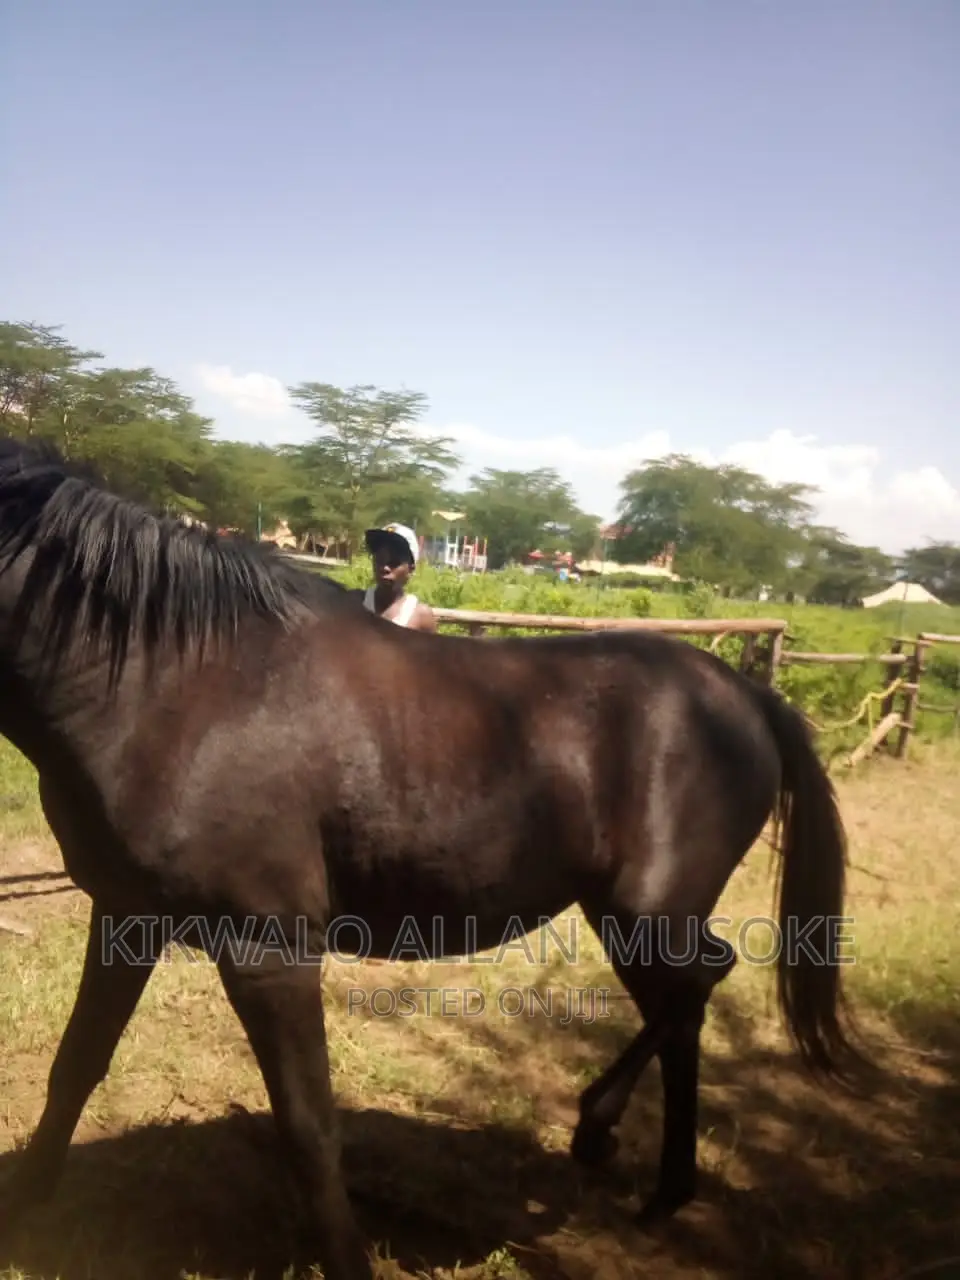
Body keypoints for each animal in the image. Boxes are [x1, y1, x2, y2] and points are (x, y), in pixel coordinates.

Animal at [0, 433, 865, 1279]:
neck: (181, 686)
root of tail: (748, 696)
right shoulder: (126, 918)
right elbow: (76, 1064)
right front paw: (28, 1204)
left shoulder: (267, 951)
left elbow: (308, 1126)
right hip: (623, 914)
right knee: (683, 999)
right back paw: (642, 1171)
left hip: (649, 910)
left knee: (694, 988)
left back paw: (618, 1145)